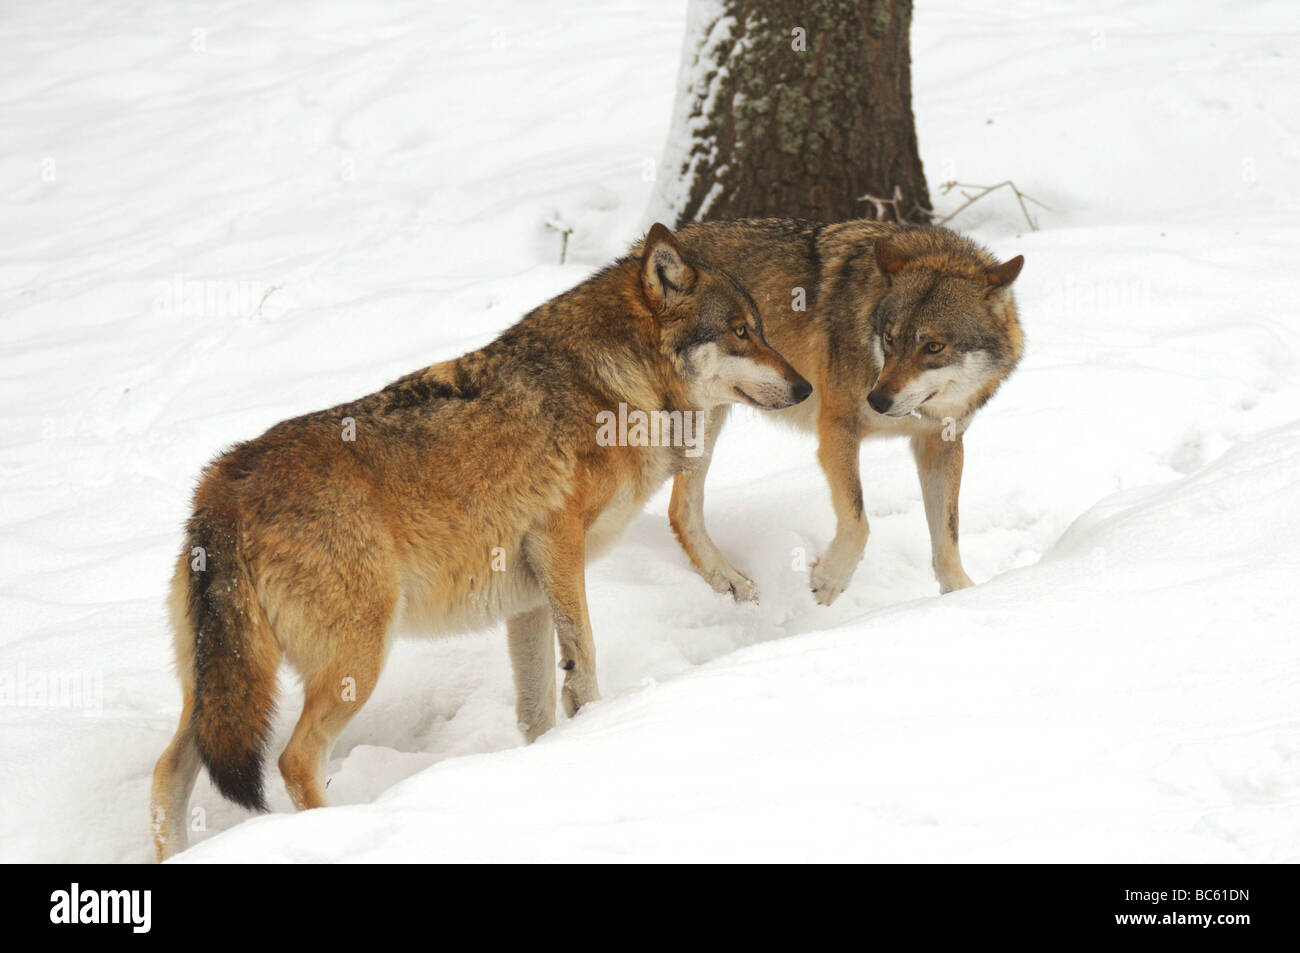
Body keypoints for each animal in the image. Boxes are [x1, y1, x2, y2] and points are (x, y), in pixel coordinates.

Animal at [147, 224, 806, 863]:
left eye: (762, 329)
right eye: (741, 333)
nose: (804, 387)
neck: (612, 385)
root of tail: (222, 487)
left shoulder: (529, 596)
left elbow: (538, 705)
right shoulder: (560, 542)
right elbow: (586, 657)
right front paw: (596, 725)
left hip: (221, 690)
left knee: (167, 772)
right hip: (357, 659)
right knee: (293, 759)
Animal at [644, 218, 1019, 603]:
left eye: (933, 347)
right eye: (889, 339)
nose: (876, 400)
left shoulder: (942, 444)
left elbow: (948, 533)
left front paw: (962, 595)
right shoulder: (837, 430)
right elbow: (858, 520)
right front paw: (830, 580)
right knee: (680, 509)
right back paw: (729, 579)